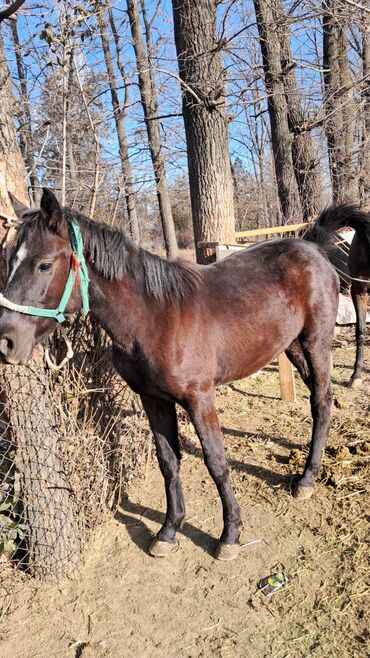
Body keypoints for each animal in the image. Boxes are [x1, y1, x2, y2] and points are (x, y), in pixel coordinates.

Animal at [0, 190, 340, 560]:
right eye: (10, 261)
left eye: (44, 264)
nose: (6, 341)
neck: (154, 319)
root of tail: (312, 246)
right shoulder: (152, 399)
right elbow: (168, 461)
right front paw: (168, 530)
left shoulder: (199, 399)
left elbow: (216, 462)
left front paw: (230, 534)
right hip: (291, 345)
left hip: (315, 342)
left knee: (321, 400)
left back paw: (307, 479)